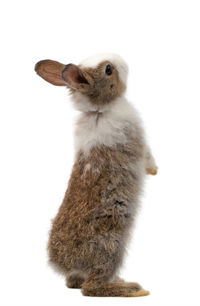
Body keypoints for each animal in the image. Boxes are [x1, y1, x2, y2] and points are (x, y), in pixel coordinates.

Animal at [35, 53, 158, 298]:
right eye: (109, 70)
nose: (122, 60)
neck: (100, 110)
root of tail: (64, 263)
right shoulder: (138, 140)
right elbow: (147, 154)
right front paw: (153, 170)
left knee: (74, 283)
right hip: (111, 247)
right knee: (90, 288)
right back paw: (133, 289)